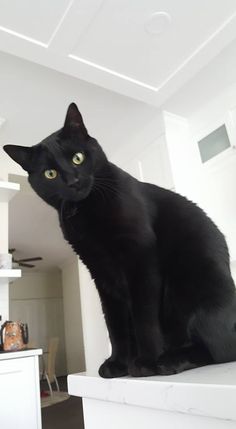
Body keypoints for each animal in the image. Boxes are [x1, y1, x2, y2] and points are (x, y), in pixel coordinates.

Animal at [3, 102, 236, 376]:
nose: (73, 181)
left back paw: (168, 360)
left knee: (219, 350)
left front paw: (145, 362)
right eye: (50, 173)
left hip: (188, 287)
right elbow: (115, 324)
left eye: (78, 158)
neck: (87, 211)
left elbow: (143, 317)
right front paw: (117, 363)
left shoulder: (140, 258)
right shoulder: (101, 272)